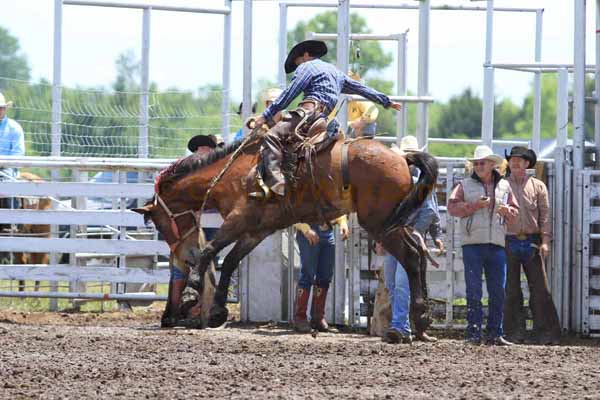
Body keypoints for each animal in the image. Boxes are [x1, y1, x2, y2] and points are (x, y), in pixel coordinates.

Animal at [134, 123, 438, 330]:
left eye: (160, 222)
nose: (184, 256)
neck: (233, 174)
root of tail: (402, 157)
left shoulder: (238, 220)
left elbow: (211, 250)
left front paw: (197, 284)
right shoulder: (257, 230)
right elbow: (230, 261)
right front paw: (218, 310)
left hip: (379, 223)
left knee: (411, 257)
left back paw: (418, 317)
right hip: (393, 222)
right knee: (418, 254)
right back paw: (422, 318)